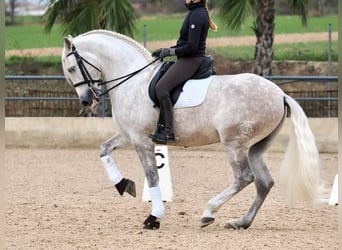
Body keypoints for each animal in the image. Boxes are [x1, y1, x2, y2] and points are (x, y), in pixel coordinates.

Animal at [61, 29, 320, 230]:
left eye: (72, 68)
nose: (86, 101)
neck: (133, 81)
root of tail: (280, 94)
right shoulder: (130, 135)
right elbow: (104, 149)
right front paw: (123, 185)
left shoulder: (141, 140)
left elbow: (152, 176)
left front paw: (153, 217)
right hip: (255, 147)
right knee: (264, 182)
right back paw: (240, 222)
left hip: (234, 143)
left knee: (244, 177)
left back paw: (209, 212)